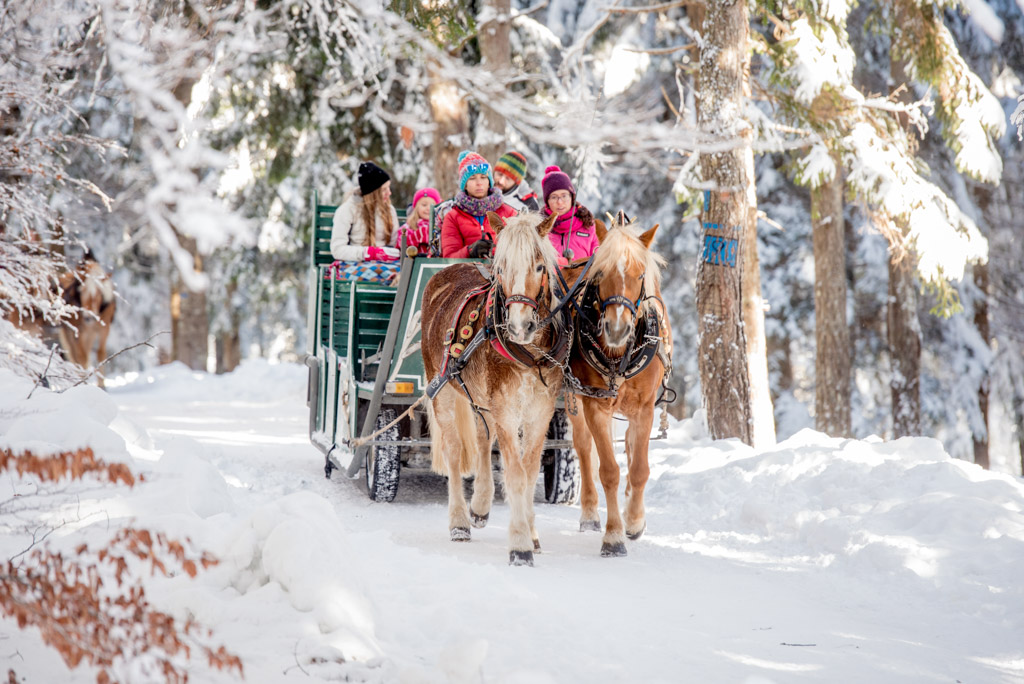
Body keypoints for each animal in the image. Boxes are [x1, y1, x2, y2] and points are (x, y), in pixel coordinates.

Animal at [57, 253, 116, 387]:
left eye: (99, 293)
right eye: (82, 291)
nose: (88, 317)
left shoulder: (104, 329)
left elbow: (101, 354)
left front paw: (102, 386)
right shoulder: (78, 332)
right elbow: (81, 358)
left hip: (90, 335)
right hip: (69, 333)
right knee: (76, 357)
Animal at [421, 210, 569, 565]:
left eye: (539, 266)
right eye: (501, 268)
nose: (519, 327)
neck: (529, 355)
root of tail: (445, 272)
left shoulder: (540, 413)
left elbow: (529, 471)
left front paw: (531, 533)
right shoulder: (506, 410)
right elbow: (515, 473)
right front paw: (520, 544)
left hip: (481, 399)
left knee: (481, 441)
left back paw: (480, 506)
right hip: (444, 391)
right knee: (455, 452)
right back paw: (460, 521)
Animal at [561, 214, 671, 557]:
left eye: (640, 275)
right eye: (601, 273)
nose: (617, 329)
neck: (618, 355)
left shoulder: (645, 407)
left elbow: (640, 469)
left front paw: (634, 521)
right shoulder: (594, 404)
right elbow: (608, 470)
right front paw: (613, 536)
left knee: (633, 450)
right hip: (573, 400)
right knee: (583, 449)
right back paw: (589, 513)